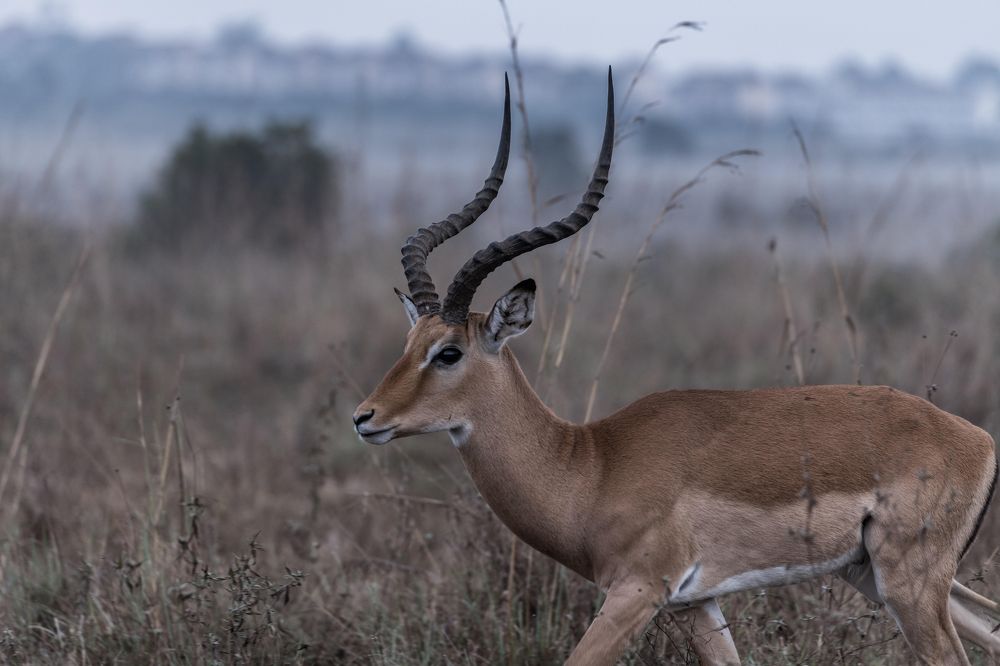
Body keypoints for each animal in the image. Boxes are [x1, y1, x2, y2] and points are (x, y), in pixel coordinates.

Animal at [352, 69, 1000, 665]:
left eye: (449, 352)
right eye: (411, 339)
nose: (365, 417)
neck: (590, 466)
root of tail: (978, 440)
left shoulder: (637, 592)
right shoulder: (696, 603)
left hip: (908, 584)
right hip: (873, 573)